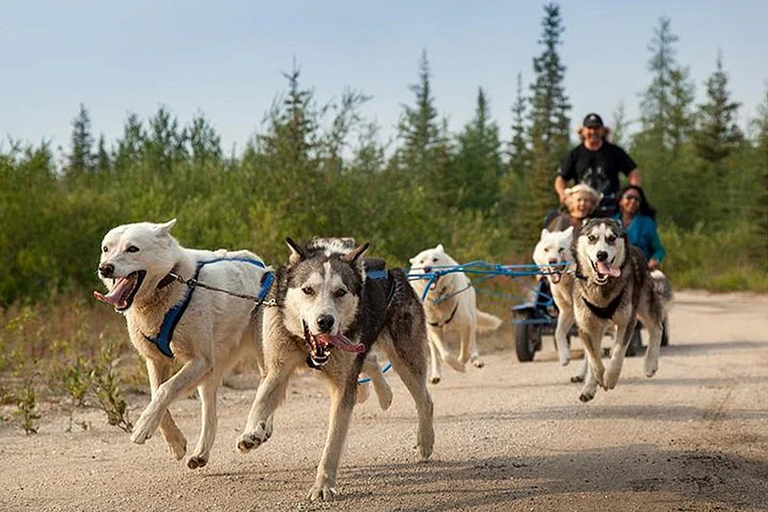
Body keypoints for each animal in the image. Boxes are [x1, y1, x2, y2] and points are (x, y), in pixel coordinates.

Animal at [95, 219, 272, 468]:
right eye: (106, 249)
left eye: (132, 249)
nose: (105, 268)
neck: (169, 283)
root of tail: (263, 267)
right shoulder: (156, 360)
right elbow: (156, 393)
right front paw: (175, 442)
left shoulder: (199, 361)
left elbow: (165, 390)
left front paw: (142, 427)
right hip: (209, 375)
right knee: (211, 417)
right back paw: (201, 454)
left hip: (262, 357)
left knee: (269, 391)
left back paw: (256, 433)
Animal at [240, 239, 432, 500]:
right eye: (308, 290)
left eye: (340, 292)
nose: (325, 321)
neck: (307, 347)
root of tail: (394, 271)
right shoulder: (277, 369)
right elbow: (260, 399)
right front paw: (251, 433)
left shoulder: (343, 388)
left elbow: (333, 442)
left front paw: (323, 485)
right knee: (371, 362)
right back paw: (383, 394)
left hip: (405, 358)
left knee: (425, 400)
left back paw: (425, 441)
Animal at [408, 245, 504, 384]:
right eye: (421, 262)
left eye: (435, 259)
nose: (427, 268)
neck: (439, 298)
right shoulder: (434, 330)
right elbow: (445, 354)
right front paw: (455, 365)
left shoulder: (466, 323)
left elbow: (464, 348)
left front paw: (461, 364)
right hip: (428, 333)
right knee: (434, 353)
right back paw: (435, 374)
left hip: (472, 317)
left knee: (472, 340)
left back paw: (476, 359)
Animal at [572, 218, 668, 402]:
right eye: (591, 237)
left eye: (612, 238)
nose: (601, 255)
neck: (602, 289)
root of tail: (637, 249)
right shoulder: (585, 326)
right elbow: (594, 358)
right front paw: (597, 378)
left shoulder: (627, 321)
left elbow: (617, 353)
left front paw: (610, 378)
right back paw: (589, 387)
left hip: (644, 301)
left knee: (657, 327)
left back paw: (650, 363)